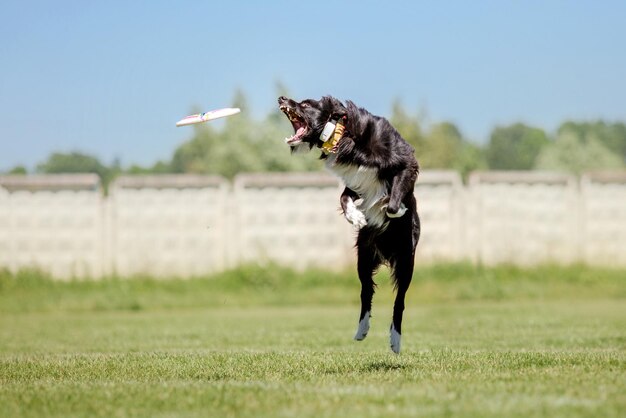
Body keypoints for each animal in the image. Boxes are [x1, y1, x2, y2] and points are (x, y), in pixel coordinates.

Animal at [278, 96, 420, 354]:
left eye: (305, 104)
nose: (282, 98)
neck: (341, 133)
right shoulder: (356, 183)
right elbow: (343, 199)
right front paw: (357, 217)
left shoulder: (406, 162)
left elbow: (394, 202)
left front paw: (390, 207)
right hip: (364, 258)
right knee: (366, 292)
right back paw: (361, 330)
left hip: (406, 261)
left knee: (400, 300)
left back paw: (395, 340)